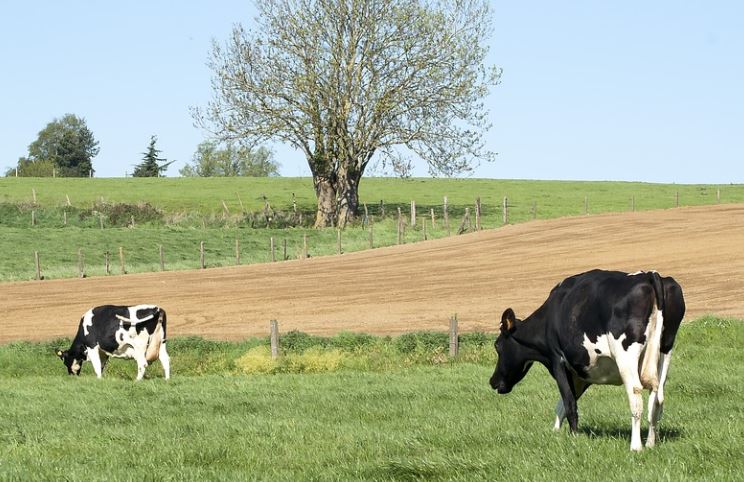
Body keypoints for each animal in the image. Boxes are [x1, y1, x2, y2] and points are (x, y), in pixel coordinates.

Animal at [489, 269, 685, 451]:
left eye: (497, 345)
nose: (493, 381)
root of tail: (649, 275)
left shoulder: (558, 360)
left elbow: (569, 404)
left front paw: (574, 437)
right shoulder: (582, 372)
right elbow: (562, 405)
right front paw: (555, 433)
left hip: (625, 356)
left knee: (636, 396)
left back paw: (636, 446)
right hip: (665, 350)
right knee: (656, 399)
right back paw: (651, 443)